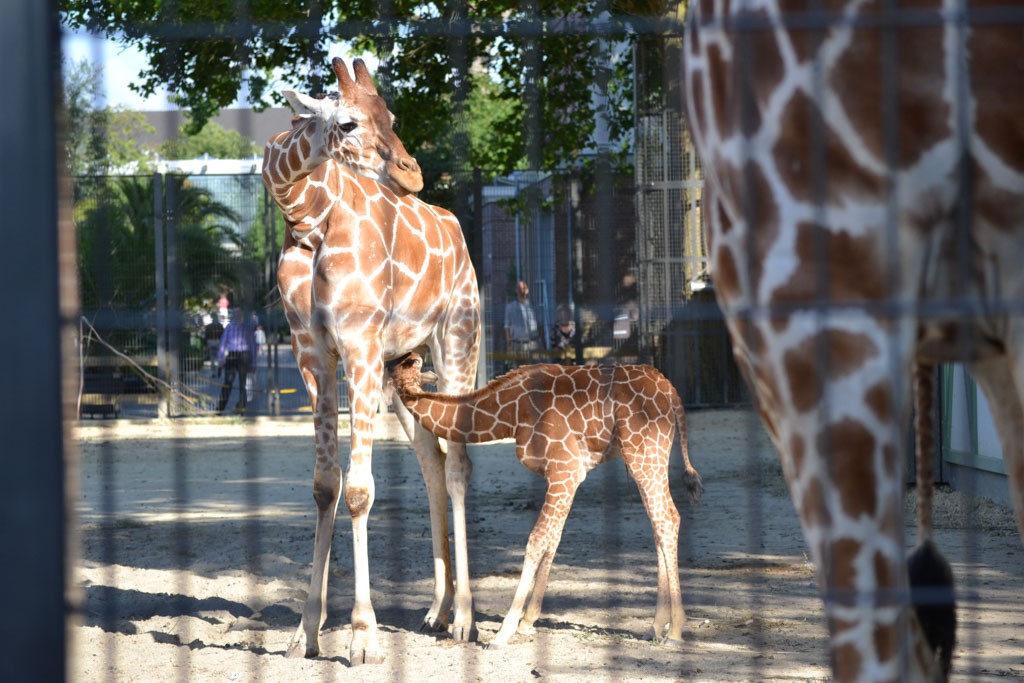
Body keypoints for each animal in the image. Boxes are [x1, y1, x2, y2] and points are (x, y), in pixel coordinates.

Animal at [260, 56, 475, 663]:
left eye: (393, 117)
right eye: (349, 122)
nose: (411, 172)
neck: (308, 218)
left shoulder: (357, 344)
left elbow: (359, 490)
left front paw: (363, 636)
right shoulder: (312, 352)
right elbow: (325, 485)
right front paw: (305, 631)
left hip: (457, 339)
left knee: (457, 464)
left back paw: (465, 620)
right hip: (401, 371)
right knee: (431, 459)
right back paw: (437, 609)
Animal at [385, 356, 704, 651]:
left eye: (405, 363)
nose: (415, 357)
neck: (511, 414)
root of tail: (671, 392)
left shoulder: (565, 470)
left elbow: (537, 539)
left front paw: (503, 633)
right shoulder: (570, 474)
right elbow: (553, 538)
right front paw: (527, 621)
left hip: (645, 453)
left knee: (667, 519)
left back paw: (675, 630)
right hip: (644, 457)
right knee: (660, 522)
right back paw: (657, 626)